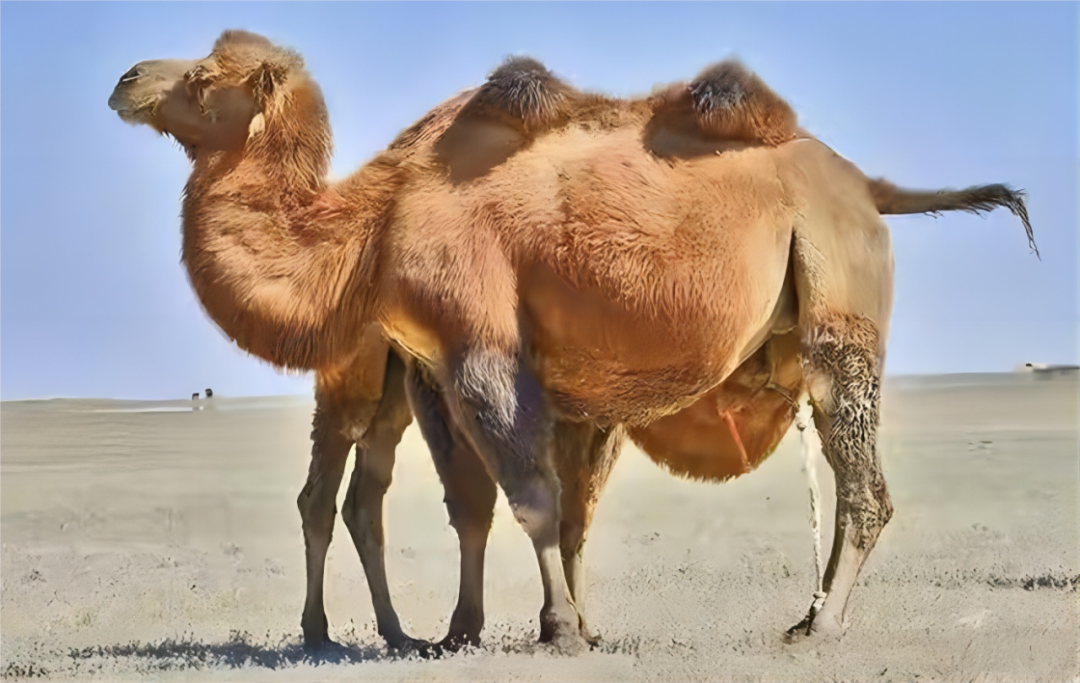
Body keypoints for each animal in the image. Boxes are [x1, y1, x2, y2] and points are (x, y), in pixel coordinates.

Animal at [111, 30, 1036, 652]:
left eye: (203, 78)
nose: (126, 78)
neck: (375, 219)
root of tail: (866, 186)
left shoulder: (478, 342)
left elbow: (532, 497)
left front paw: (559, 627)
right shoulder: (459, 366)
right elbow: (503, 505)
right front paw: (479, 628)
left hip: (840, 299)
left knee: (863, 481)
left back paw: (822, 626)